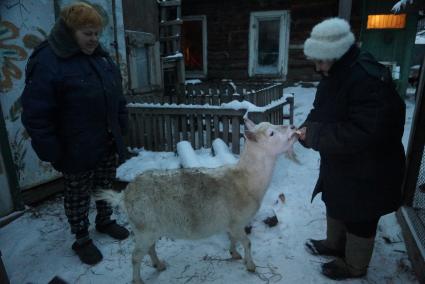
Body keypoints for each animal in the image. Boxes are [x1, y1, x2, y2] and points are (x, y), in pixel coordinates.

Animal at [99, 118, 298, 284]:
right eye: (271, 133)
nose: (293, 127)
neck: (246, 180)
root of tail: (125, 195)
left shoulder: (231, 223)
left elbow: (233, 239)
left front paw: (234, 253)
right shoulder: (237, 222)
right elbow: (247, 243)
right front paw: (250, 265)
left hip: (150, 229)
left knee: (150, 248)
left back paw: (159, 265)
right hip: (143, 228)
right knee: (135, 257)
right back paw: (138, 280)